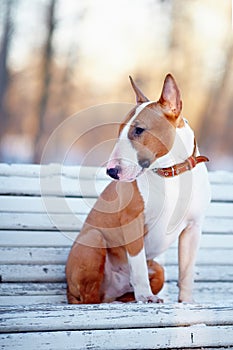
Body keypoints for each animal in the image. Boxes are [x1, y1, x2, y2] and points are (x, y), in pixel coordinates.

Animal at [64, 74, 210, 304]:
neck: (171, 174)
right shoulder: (132, 221)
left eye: (139, 130)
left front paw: (186, 302)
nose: (112, 172)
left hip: (158, 270)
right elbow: (139, 265)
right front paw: (147, 296)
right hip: (94, 239)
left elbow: (186, 271)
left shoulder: (193, 228)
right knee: (90, 298)